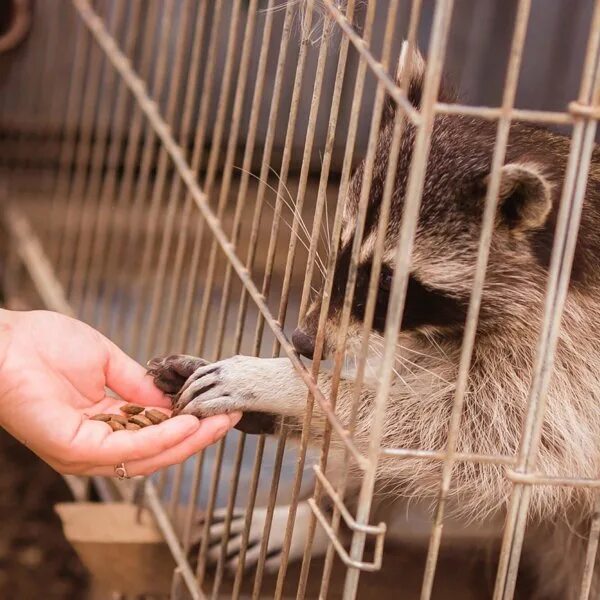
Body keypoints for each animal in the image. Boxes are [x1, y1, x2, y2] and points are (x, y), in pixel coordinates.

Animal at [146, 44, 600, 596]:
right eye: (341, 250)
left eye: (388, 284)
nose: (303, 340)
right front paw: (300, 402)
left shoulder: (569, 361)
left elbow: (479, 441)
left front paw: (285, 386)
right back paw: (325, 521)